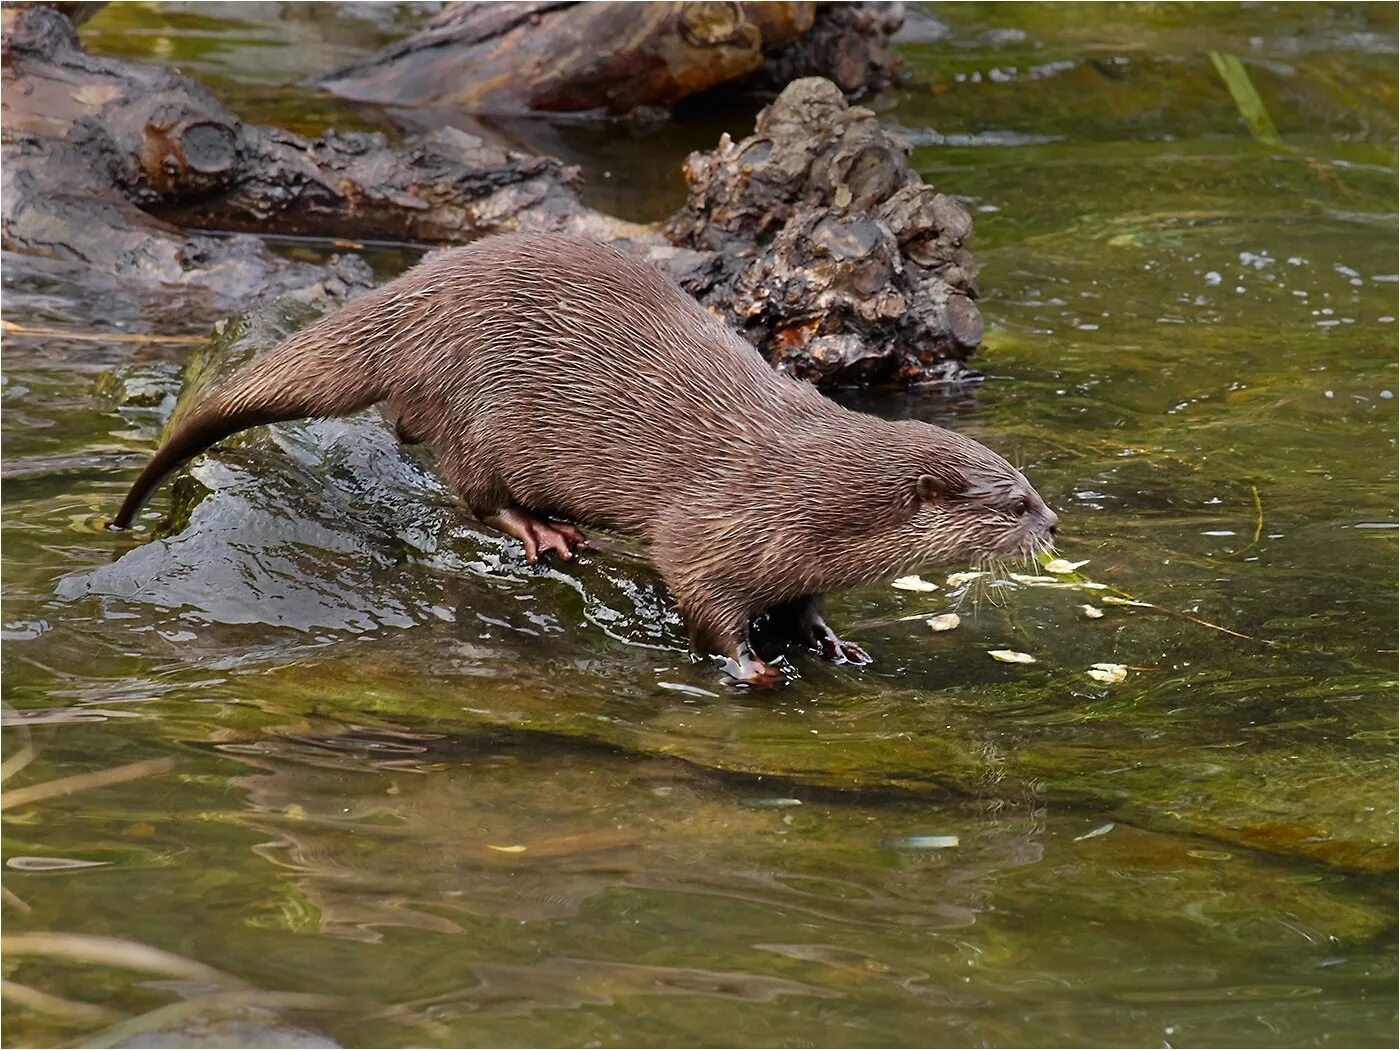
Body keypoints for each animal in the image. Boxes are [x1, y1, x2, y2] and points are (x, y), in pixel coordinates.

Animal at [109, 233, 1052, 686]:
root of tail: (411, 299)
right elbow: (701, 592)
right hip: (477, 406)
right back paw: (544, 530)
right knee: (467, 483)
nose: (1053, 522)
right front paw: (747, 665)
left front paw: (831, 643)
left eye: (1031, 489)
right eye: (1012, 503)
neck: (813, 491)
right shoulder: (721, 523)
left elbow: (804, 606)